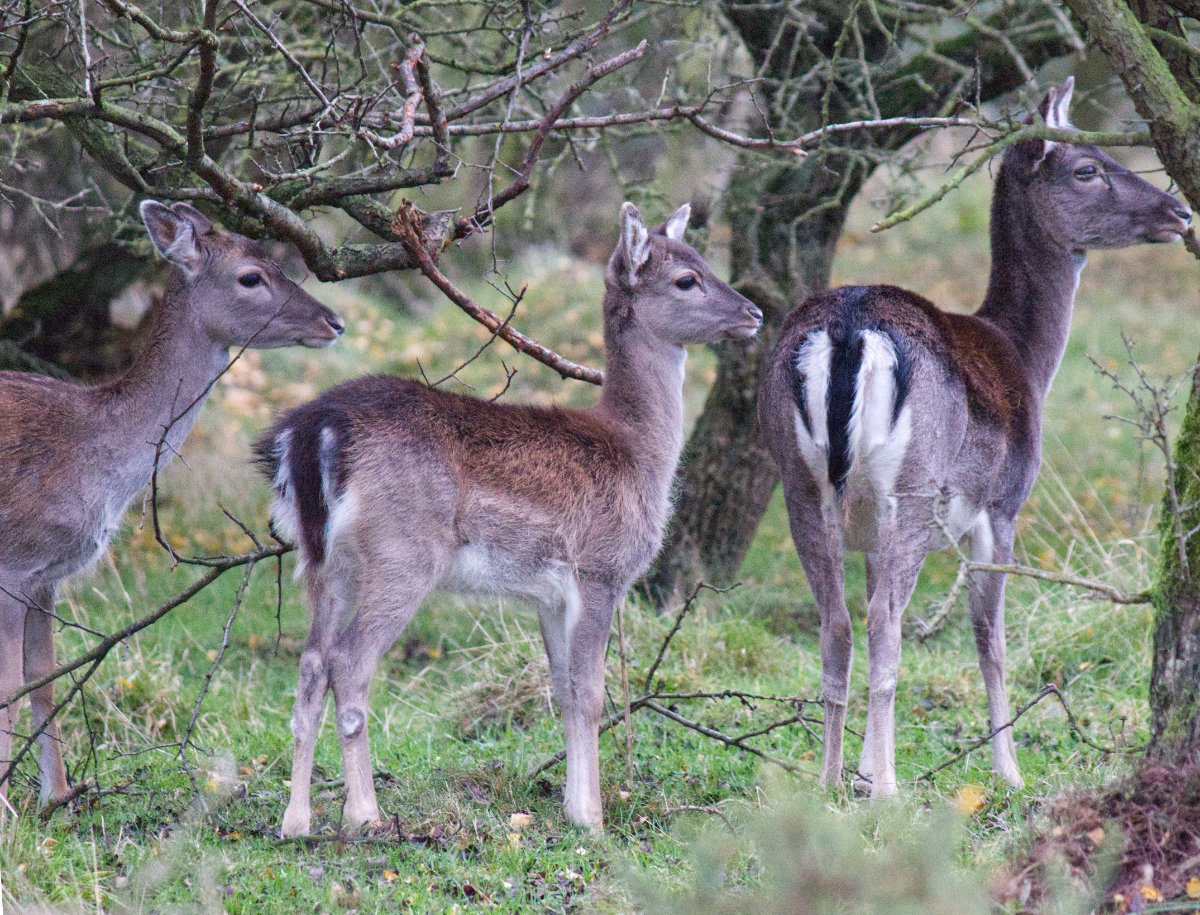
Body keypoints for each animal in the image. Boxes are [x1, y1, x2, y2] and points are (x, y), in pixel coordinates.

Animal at [1, 199, 348, 806]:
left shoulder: (46, 576)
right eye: (251, 277)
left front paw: (57, 796)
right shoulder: (14, 563)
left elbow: (44, 683)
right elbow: (10, 690)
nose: (334, 322)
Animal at [255, 201, 758, 835]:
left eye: (704, 261)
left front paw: (571, 807)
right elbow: (591, 693)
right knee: (349, 662)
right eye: (687, 279)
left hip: (322, 559)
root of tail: (309, 433)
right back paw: (365, 814)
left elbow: (562, 690)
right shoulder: (599, 570)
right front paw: (592, 819)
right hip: (402, 553)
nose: (754, 313)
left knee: (311, 663)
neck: (637, 453)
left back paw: (296, 820)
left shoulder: (549, 594)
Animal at [758, 78, 1190, 797]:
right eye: (1087, 167)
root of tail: (848, 330)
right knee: (884, 621)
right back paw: (891, 791)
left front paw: (865, 771)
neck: (1026, 360)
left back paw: (828, 783)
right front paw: (1008, 774)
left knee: (839, 622)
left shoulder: (868, 528)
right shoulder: (1003, 507)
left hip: (801, 483)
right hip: (913, 484)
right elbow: (992, 641)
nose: (1180, 209)